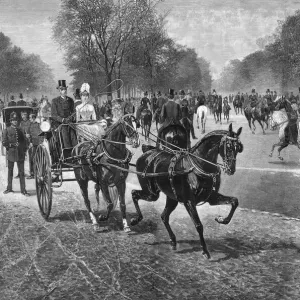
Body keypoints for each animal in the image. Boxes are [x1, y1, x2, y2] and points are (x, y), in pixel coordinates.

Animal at [131, 123, 244, 258]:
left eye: (239, 148)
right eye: (228, 146)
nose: (231, 169)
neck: (197, 166)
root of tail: (147, 153)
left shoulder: (211, 197)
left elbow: (234, 201)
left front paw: (222, 220)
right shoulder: (189, 201)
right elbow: (198, 225)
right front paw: (205, 251)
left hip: (171, 198)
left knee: (164, 216)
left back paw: (173, 241)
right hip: (151, 194)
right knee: (134, 194)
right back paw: (136, 219)